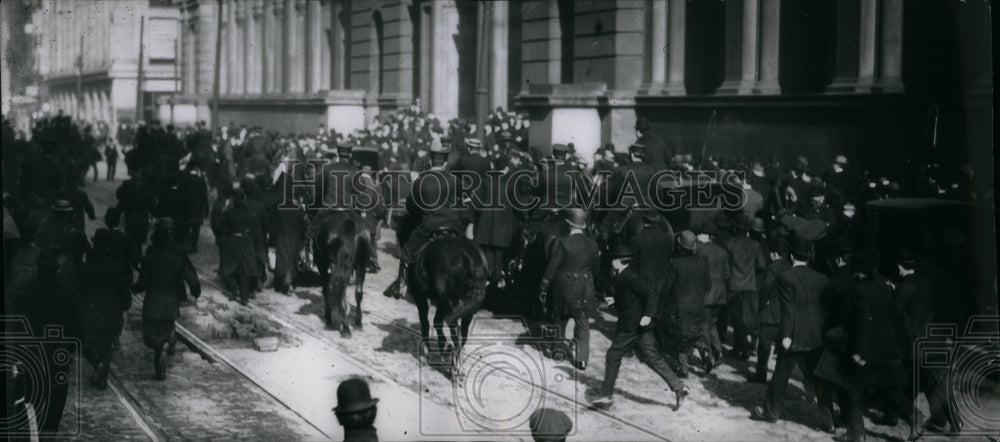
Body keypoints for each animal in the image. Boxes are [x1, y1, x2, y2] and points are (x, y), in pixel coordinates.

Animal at [408, 235, 490, 370]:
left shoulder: (420, 297)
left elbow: (426, 324)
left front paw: (428, 354)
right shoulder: (443, 303)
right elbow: (437, 322)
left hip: (448, 302)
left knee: (454, 330)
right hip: (466, 308)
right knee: (462, 334)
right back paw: (456, 363)